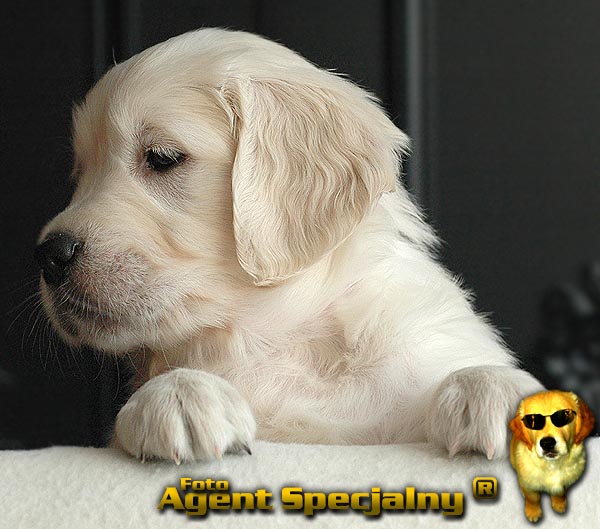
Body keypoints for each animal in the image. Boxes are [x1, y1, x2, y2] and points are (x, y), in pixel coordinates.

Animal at [35, 28, 543, 463]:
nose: (49, 255)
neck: (281, 338)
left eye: (162, 158)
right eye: (80, 174)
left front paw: (499, 390)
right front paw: (178, 393)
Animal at [509, 390, 595, 522]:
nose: (547, 443)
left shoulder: (564, 483)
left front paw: (559, 504)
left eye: (565, 415)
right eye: (532, 420)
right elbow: (532, 498)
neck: (552, 465)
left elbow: (559, 493)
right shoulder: (528, 483)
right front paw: (533, 512)